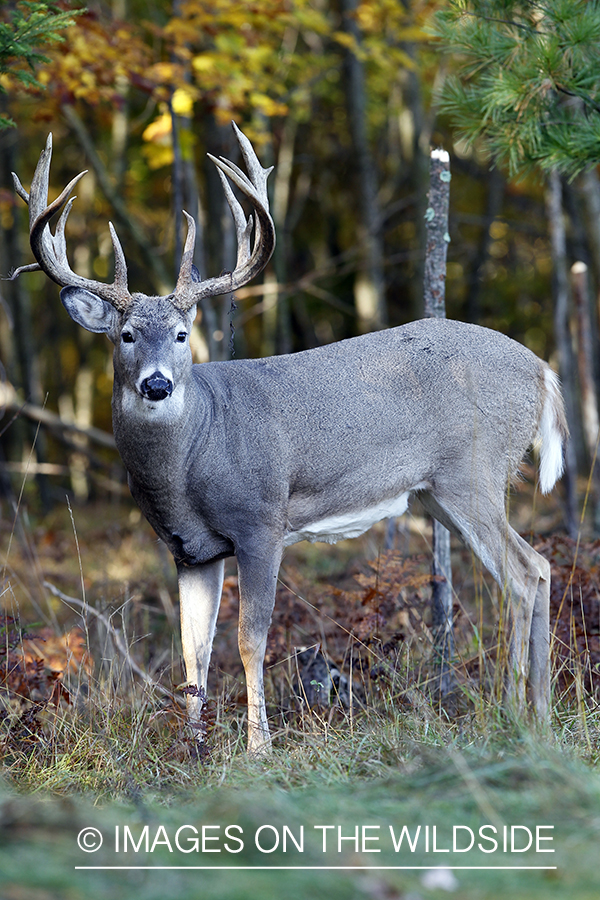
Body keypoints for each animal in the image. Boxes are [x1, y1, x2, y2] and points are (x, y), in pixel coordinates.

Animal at [12, 125, 568, 752]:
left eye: (181, 334)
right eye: (126, 335)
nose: (157, 383)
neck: (191, 460)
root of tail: (541, 370)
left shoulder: (261, 521)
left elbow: (249, 639)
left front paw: (259, 746)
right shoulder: (189, 550)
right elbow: (192, 651)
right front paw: (194, 747)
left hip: (473, 470)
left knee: (520, 576)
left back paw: (511, 713)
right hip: (439, 493)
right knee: (540, 566)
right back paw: (541, 715)